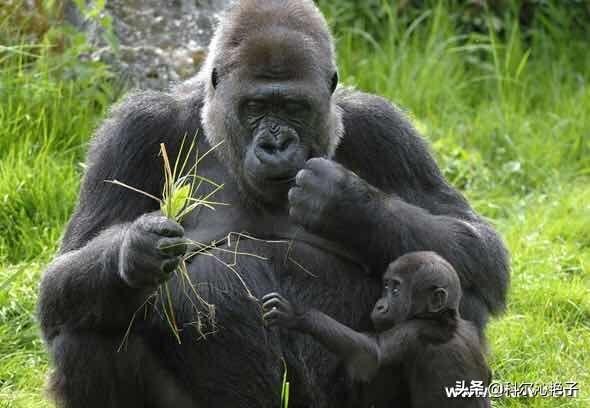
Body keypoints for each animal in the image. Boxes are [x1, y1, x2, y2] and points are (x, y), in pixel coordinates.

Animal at [266, 250, 492, 406]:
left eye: (396, 290)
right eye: (385, 286)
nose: (380, 305)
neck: (442, 317)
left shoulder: (414, 330)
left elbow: (371, 354)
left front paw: (298, 316)